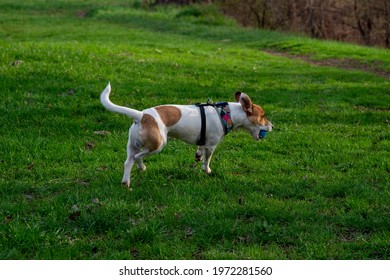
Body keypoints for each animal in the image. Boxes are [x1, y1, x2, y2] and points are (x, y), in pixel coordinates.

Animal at [99, 83, 272, 188]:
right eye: (263, 115)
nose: (272, 126)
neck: (225, 114)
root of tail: (141, 116)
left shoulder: (203, 141)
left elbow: (200, 150)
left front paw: (198, 156)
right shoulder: (211, 145)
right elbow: (208, 159)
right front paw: (207, 170)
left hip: (132, 145)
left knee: (128, 161)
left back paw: (126, 182)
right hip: (158, 144)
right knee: (137, 157)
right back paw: (141, 167)